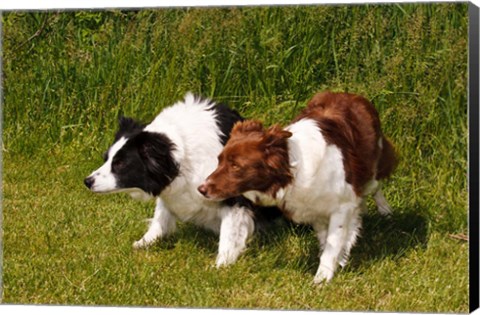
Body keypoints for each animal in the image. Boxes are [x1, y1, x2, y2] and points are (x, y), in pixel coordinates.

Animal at [85, 93, 280, 266]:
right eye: (106, 158)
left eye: (120, 164)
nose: (87, 181)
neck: (182, 153)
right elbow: (160, 219)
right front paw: (143, 243)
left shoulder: (232, 195)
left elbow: (230, 232)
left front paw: (221, 265)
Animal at [198, 91, 398, 284]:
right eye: (219, 160)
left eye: (235, 166)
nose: (201, 189)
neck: (292, 172)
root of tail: (350, 95)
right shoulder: (315, 209)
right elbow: (326, 240)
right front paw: (335, 260)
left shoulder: (342, 206)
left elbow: (332, 245)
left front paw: (322, 278)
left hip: (371, 171)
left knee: (376, 187)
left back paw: (385, 211)